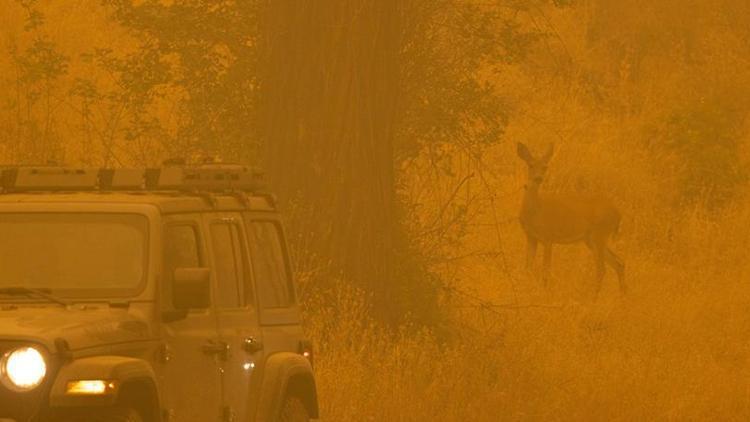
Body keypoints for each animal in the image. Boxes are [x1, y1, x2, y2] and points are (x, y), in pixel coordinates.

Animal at [516, 143, 628, 298]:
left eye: (545, 166)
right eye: (531, 165)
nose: (539, 178)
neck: (536, 210)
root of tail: (618, 214)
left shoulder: (548, 237)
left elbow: (546, 269)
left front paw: (545, 291)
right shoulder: (531, 237)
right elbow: (527, 267)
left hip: (599, 234)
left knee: (602, 268)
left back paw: (592, 297)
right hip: (591, 239)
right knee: (618, 262)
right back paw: (623, 297)